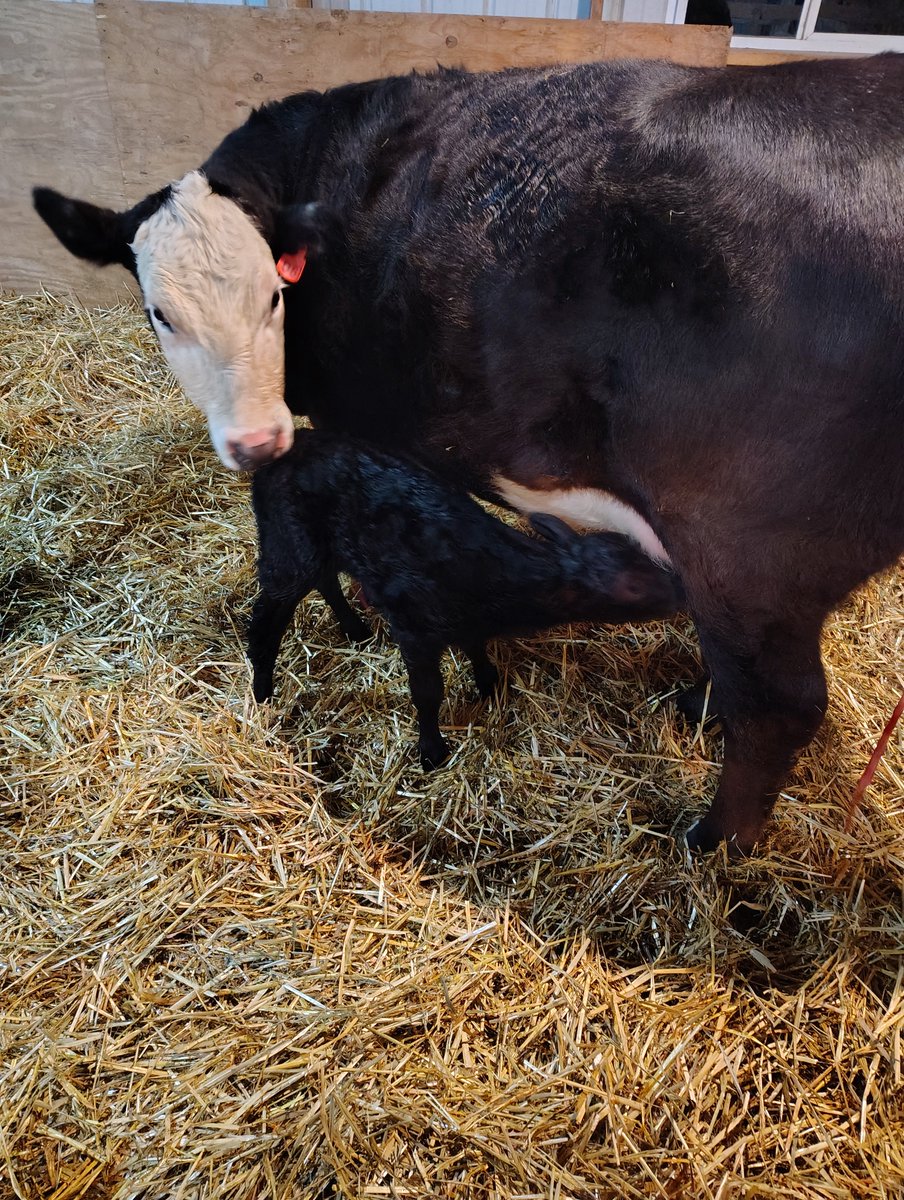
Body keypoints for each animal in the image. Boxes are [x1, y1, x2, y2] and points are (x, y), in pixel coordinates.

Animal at [33, 54, 904, 854]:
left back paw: (714, 838)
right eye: (160, 313)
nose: (257, 441)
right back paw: (697, 711)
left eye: (274, 296)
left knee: (781, 703)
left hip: (746, 547)